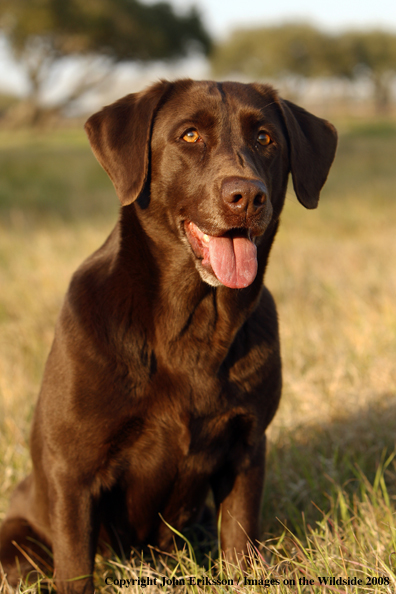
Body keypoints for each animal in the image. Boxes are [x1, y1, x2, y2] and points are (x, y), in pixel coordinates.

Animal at [0, 80, 336, 592]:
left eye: (265, 139)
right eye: (190, 135)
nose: (247, 195)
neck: (193, 323)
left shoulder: (246, 449)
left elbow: (240, 542)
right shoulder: (72, 472)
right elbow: (75, 567)